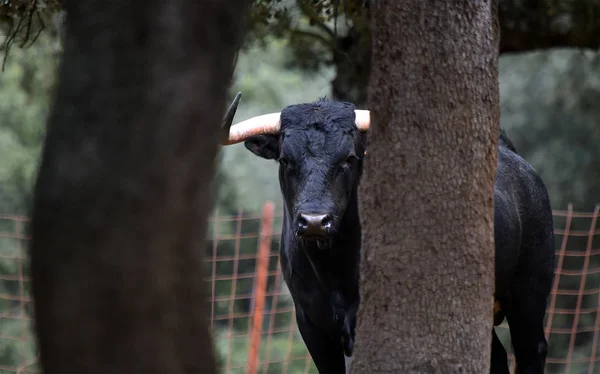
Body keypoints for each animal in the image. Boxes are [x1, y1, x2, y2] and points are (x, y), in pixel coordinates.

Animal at [220, 95, 552, 374]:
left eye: (349, 159)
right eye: (286, 160)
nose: (315, 220)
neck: (334, 272)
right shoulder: (311, 323)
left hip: (529, 295)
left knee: (531, 351)